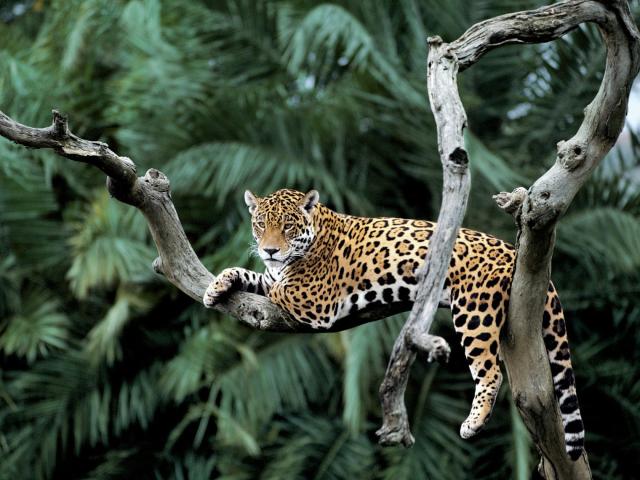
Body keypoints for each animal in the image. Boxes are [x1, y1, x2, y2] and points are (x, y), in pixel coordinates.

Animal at [203, 188, 584, 460]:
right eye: (260, 225)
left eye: (288, 226)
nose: (270, 250)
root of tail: (511, 250)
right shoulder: (276, 276)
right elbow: (254, 275)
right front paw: (216, 286)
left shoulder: (313, 298)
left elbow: (276, 286)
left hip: (474, 311)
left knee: (490, 371)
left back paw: (473, 423)